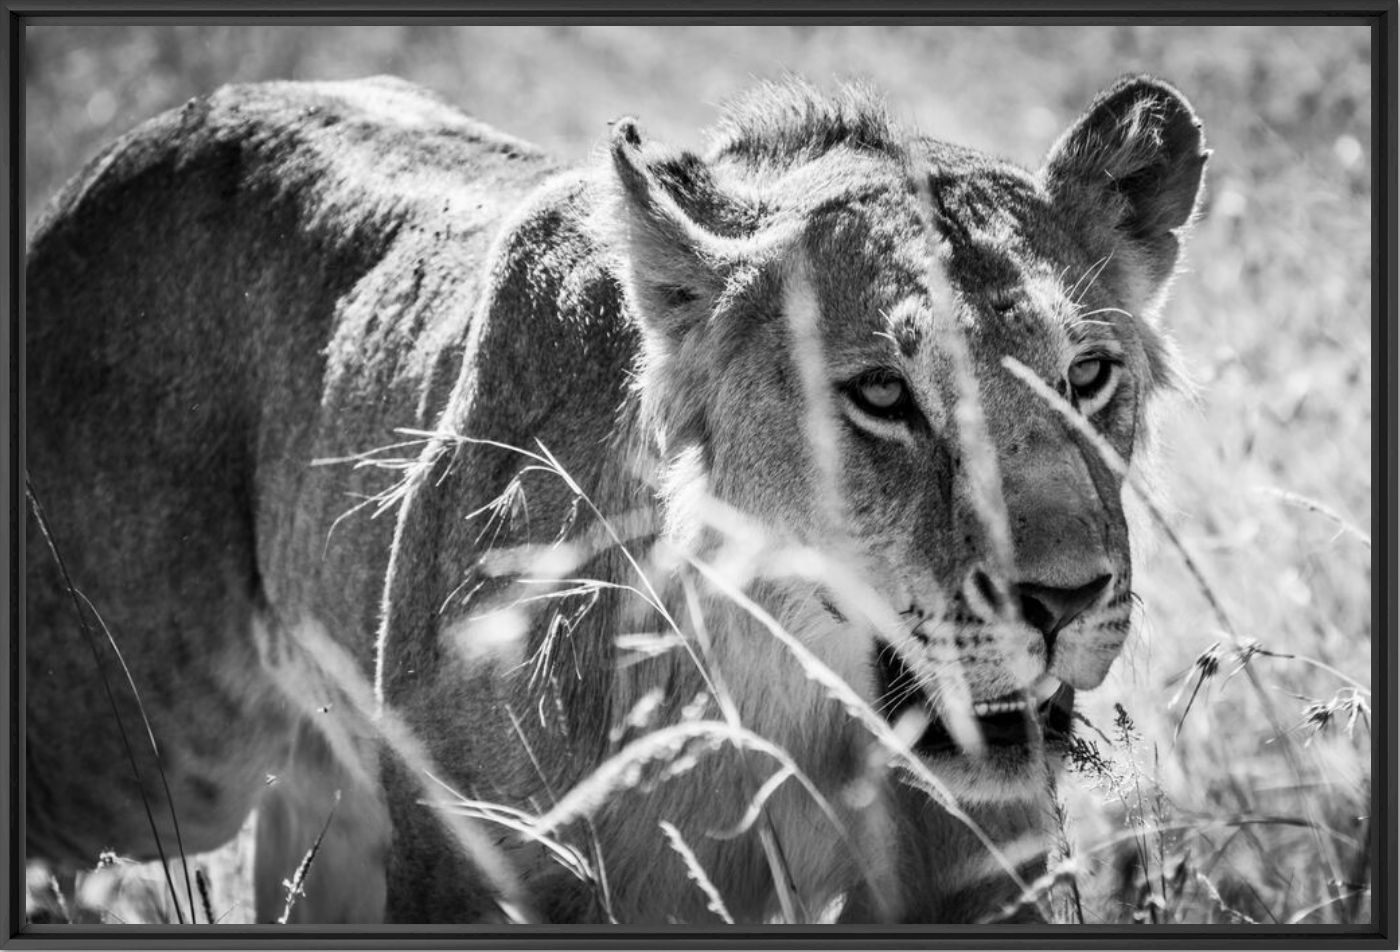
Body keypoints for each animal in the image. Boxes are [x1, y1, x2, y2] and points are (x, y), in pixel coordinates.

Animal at [19, 72, 1204, 924]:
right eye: (880, 393)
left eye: (1086, 375)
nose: (1064, 598)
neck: (789, 707)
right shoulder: (461, 867)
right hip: (136, 756)